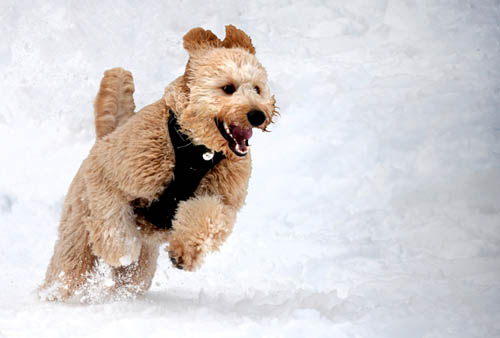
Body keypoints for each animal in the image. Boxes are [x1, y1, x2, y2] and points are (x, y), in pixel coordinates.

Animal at [40, 25, 278, 302]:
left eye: (257, 88)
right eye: (228, 88)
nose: (258, 115)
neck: (197, 150)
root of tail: (105, 136)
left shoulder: (221, 199)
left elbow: (210, 217)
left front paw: (184, 253)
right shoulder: (111, 174)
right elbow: (112, 215)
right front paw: (121, 249)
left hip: (141, 266)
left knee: (128, 281)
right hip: (76, 236)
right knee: (67, 272)